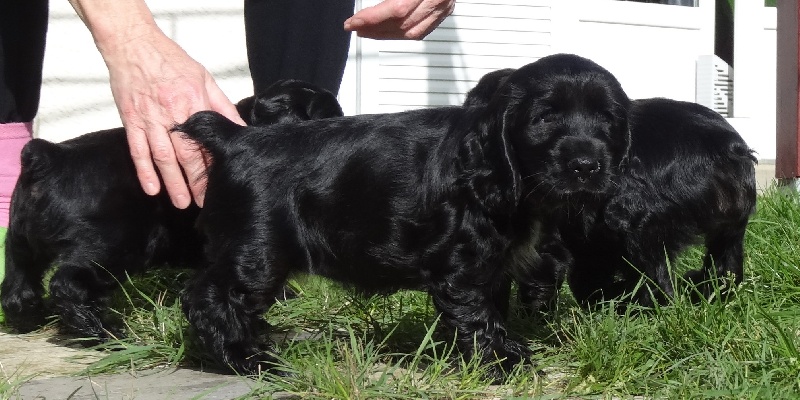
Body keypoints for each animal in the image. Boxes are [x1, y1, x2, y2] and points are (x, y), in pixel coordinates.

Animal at [175, 54, 632, 382]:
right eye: (544, 118)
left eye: (608, 120)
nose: (587, 166)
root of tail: (236, 137)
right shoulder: (461, 263)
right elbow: (477, 313)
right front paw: (503, 363)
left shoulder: (493, 263)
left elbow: (491, 305)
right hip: (258, 249)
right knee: (210, 299)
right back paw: (250, 360)